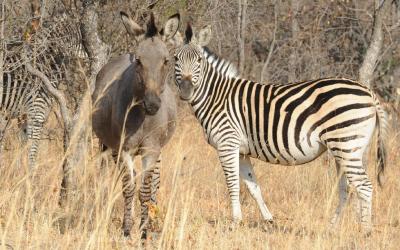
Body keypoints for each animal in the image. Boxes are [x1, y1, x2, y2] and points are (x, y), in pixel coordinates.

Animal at [1, 13, 86, 167]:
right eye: (84, 41)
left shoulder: (26, 115)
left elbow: (22, 149)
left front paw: (19, 172)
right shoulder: (36, 112)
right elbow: (33, 153)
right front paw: (31, 173)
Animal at [173, 24, 390, 233]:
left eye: (199, 60)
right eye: (175, 59)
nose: (185, 91)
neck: (217, 96)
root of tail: (369, 92)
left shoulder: (227, 143)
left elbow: (232, 184)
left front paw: (234, 223)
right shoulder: (241, 151)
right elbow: (253, 187)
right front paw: (268, 220)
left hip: (346, 145)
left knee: (364, 186)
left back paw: (365, 231)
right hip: (349, 149)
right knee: (347, 189)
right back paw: (333, 228)